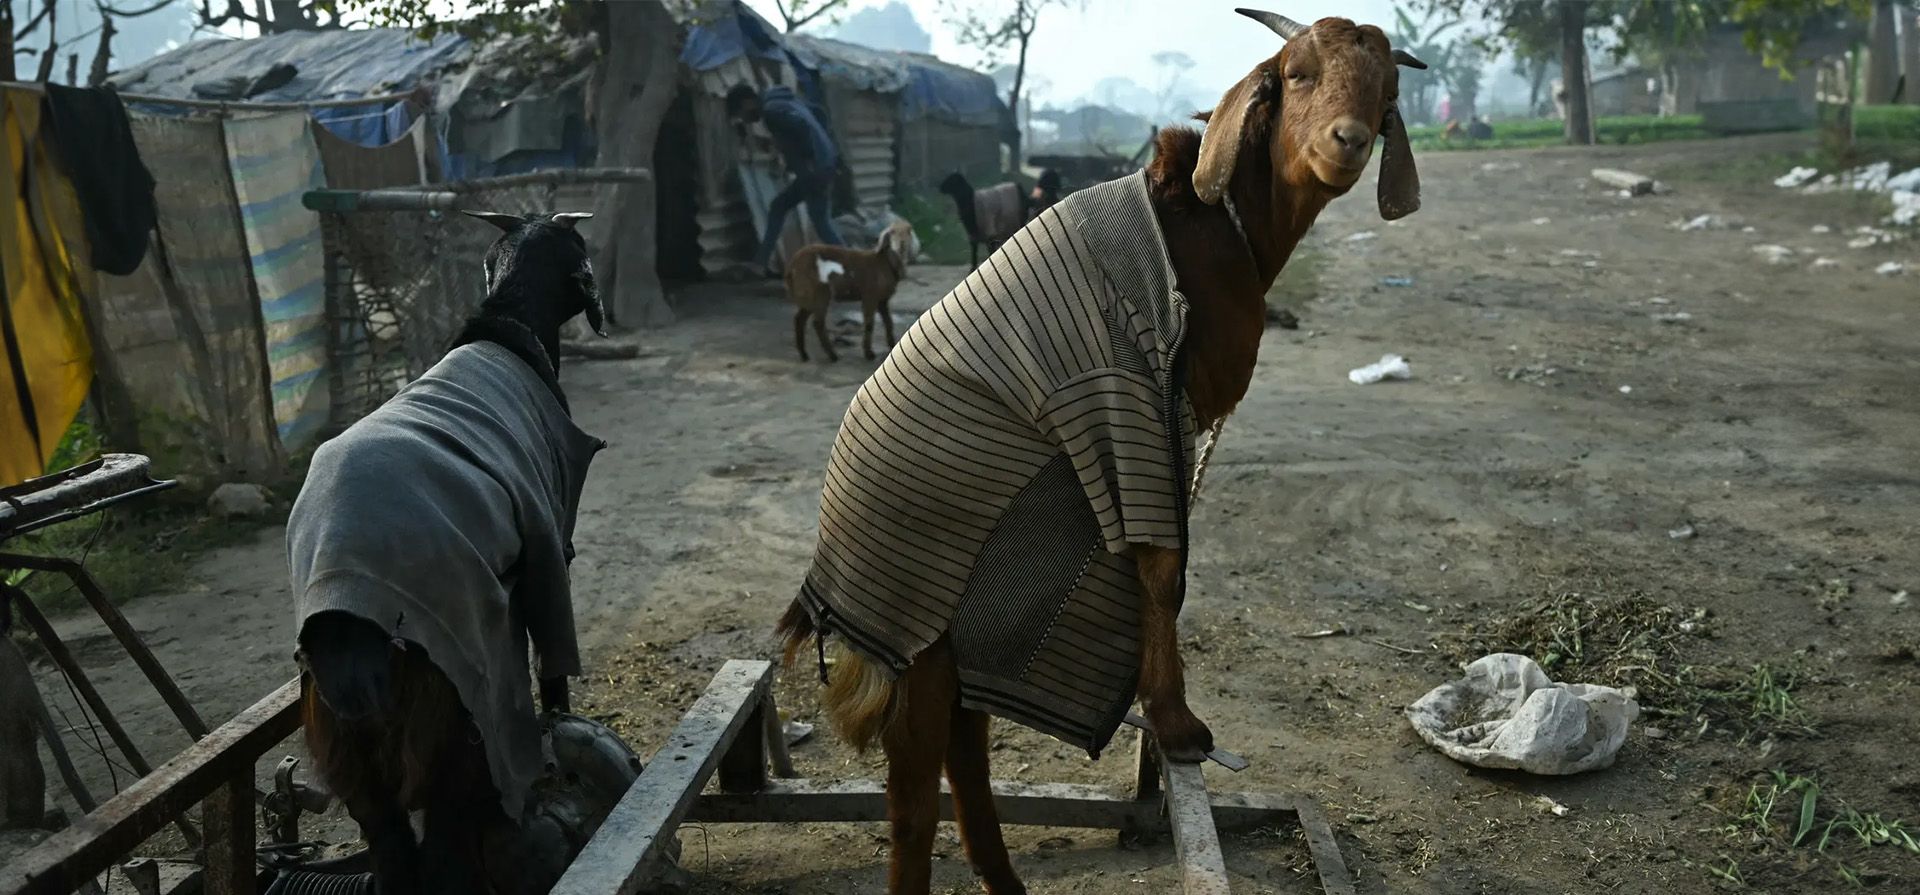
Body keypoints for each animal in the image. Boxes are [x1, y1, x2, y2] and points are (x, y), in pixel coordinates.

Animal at [291, 211, 606, 895]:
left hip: (356, 753)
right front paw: (562, 729)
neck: (508, 327)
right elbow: (553, 662)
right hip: (454, 726)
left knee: (393, 851)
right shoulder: (552, 547)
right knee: (443, 851)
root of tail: (350, 634)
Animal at [784, 219, 919, 362]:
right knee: (817, 323)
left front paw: (892, 345)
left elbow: (889, 322)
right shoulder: (870, 296)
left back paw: (804, 354)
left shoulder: (883, 299)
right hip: (818, 292)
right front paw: (869, 353)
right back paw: (832, 355)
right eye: (892, 232)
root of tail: (792, 267)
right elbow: (869, 324)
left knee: (799, 319)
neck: (885, 262)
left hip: (807, 295)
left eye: (909, 230)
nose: (902, 244)